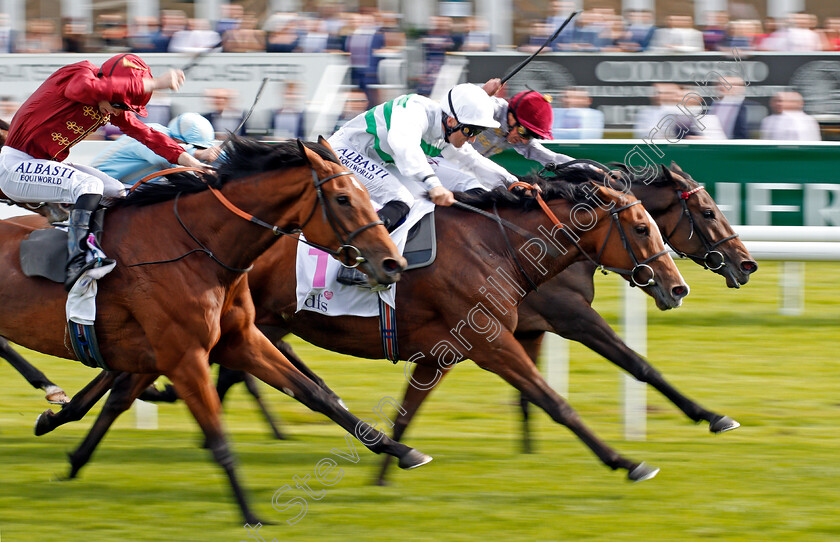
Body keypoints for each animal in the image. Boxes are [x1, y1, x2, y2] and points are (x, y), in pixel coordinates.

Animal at [1, 135, 434, 524]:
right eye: (343, 198)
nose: (393, 263)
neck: (196, 248)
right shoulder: (184, 355)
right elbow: (219, 438)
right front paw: (251, 514)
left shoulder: (241, 339)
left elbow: (316, 395)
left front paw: (404, 451)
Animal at [39, 176, 688, 486]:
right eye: (641, 226)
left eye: (659, 223)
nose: (677, 287)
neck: (497, 244)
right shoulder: (492, 342)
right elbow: (556, 402)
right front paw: (627, 462)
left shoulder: (442, 350)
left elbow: (406, 412)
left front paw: (386, 469)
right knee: (130, 382)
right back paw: (65, 426)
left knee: (130, 382)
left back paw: (69, 440)